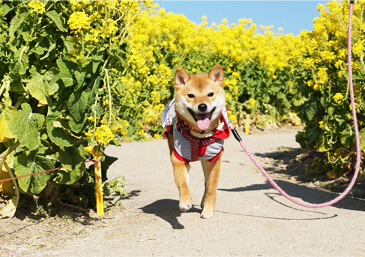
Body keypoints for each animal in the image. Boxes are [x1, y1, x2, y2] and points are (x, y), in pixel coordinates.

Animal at [161, 64, 229, 218]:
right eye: (191, 95)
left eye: (210, 94)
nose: (202, 106)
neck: (199, 136)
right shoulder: (178, 158)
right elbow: (183, 183)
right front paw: (185, 200)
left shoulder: (214, 159)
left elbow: (211, 188)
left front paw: (208, 209)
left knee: (207, 184)